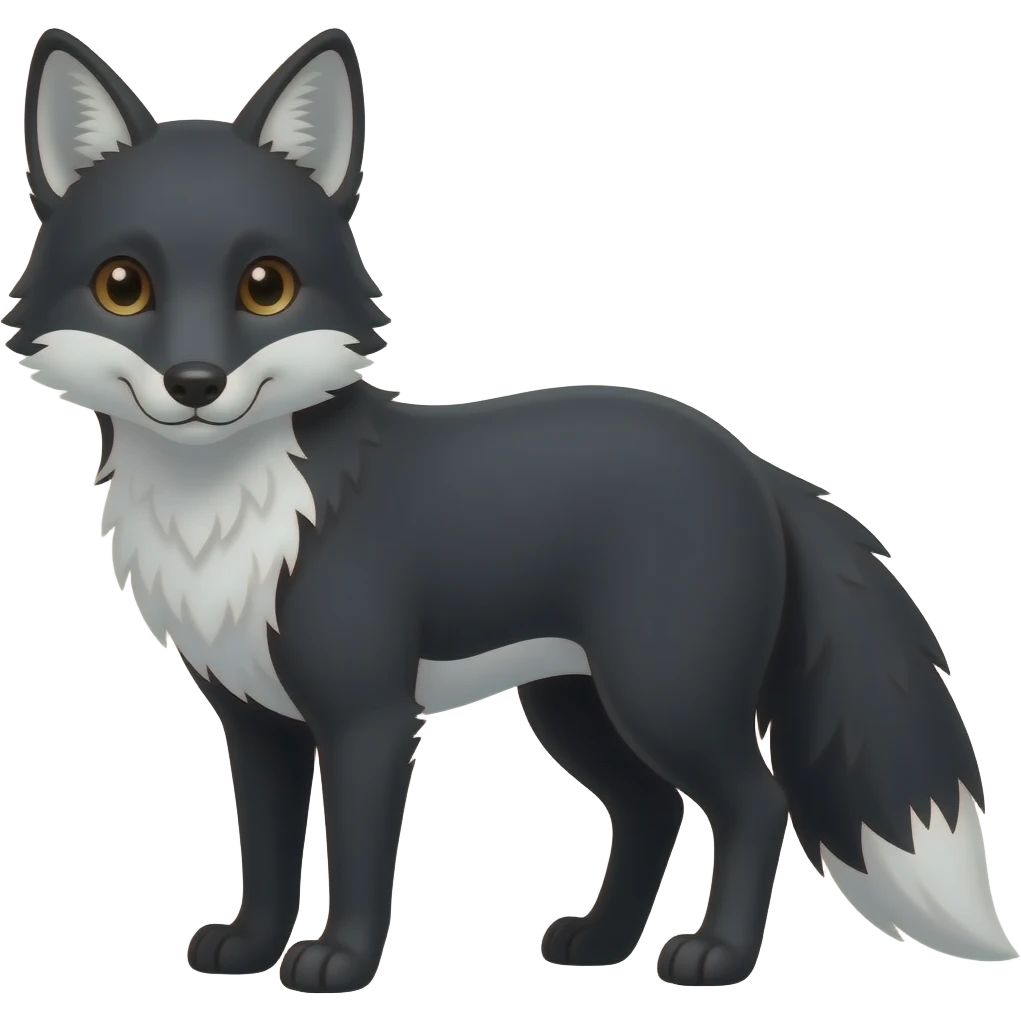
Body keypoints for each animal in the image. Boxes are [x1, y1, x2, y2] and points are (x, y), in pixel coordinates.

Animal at [5, 25, 1016, 994]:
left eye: (265, 286)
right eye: (124, 285)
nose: (195, 383)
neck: (229, 514)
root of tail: (748, 461)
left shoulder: (369, 715)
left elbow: (358, 861)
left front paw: (339, 964)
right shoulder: (255, 719)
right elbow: (263, 851)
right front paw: (249, 948)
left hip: (663, 696)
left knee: (755, 801)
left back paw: (714, 958)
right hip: (574, 705)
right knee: (652, 809)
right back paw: (600, 943)